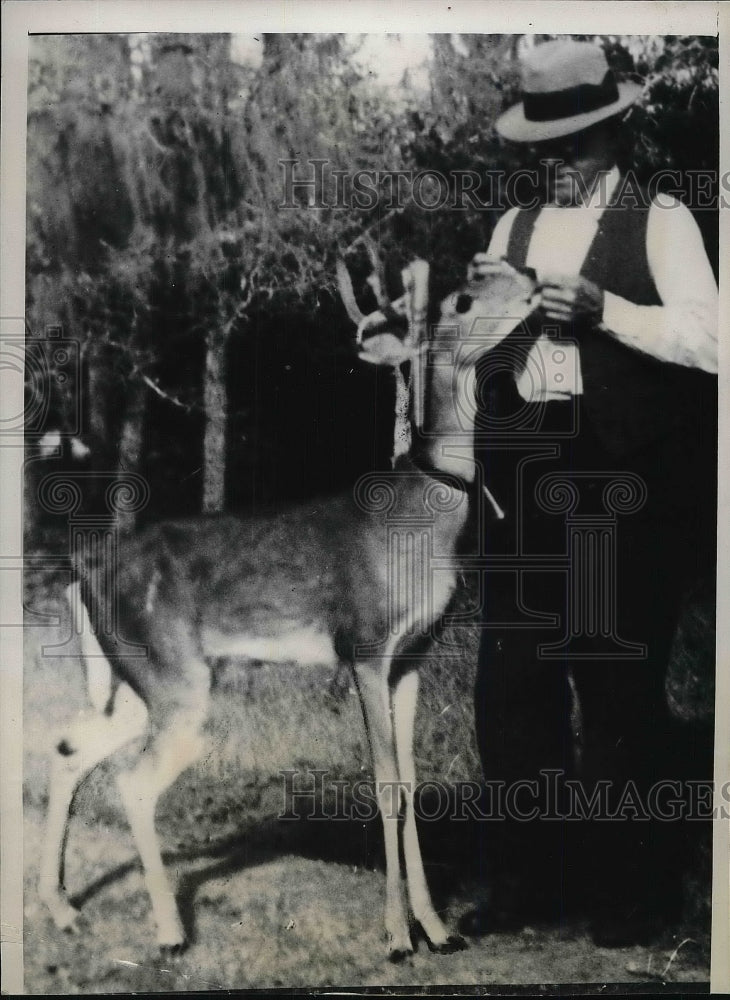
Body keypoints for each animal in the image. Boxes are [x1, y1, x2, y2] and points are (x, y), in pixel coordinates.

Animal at [38, 256, 536, 960]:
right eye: (463, 300)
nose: (530, 277)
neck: (424, 519)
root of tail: (84, 577)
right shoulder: (364, 641)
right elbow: (385, 782)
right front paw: (396, 936)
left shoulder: (413, 655)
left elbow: (411, 783)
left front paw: (439, 930)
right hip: (171, 675)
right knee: (132, 781)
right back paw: (168, 932)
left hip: (141, 681)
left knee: (69, 749)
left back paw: (62, 909)